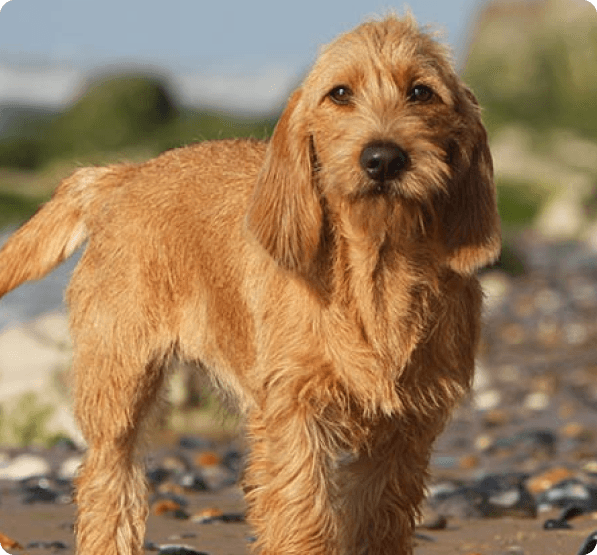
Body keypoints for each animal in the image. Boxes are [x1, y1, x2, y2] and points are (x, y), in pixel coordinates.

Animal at [0, 13, 498, 555]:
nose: (383, 158)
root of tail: (126, 175)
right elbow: (304, 515)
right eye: (340, 93)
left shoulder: (404, 431)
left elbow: (378, 520)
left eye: (421, 92)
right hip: (118, 387)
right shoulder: (295, 415)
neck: (377, 270)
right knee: (108, 486)